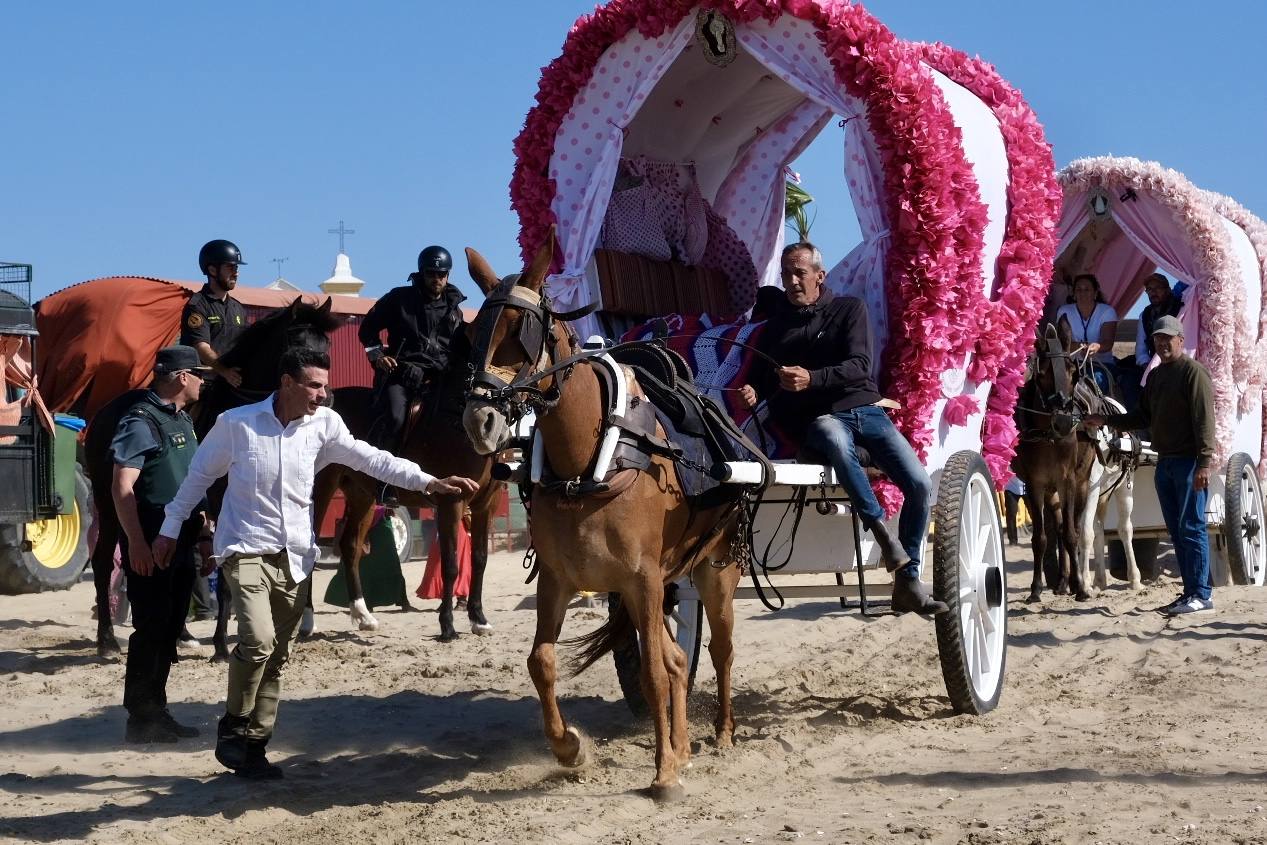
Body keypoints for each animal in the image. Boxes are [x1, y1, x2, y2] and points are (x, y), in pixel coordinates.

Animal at [84, 297, 342, 658]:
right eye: (298, 347)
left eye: (326, 347)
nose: (324, 397)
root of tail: (105, 413)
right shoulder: (224, 508)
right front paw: (222, 643)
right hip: (109, 505)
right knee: (104, 561)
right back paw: (107, 640)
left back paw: (179, 634)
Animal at [314, 254, 506, 643]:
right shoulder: (451, 500)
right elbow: (451, 562)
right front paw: (447, 625)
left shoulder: (485, 504)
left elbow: (479, 559)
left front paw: (478, 618)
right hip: (323, 487)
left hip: (361, 494)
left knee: (350, 546)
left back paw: (363, 615)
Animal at [461, 233, 744, 800]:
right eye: (476, 334)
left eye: (522, 334)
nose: (479, 421)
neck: (586, 466)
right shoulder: (561, 579)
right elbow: (541, 661)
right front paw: (569, 747)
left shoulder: (642, 579)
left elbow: (653, 673)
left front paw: (663, 773)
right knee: (679, 660)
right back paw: (683, 744)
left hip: (712, 572)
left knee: (720, 650)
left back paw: (721, 733)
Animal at [1013, 316, 1094, 600]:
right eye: (1042, 373)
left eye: (1073, 372)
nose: (1064, 422)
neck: (1048, 435)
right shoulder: (1034, 484)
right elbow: (1040, 538)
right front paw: (1036, 588)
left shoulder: (1067, 480)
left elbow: (1071, 534)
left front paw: (1080, 587)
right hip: (1049, 490)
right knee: (1056, 527)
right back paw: (1061, 581)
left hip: (1081, 483)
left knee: (1073, 527)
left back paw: (1073, 581)